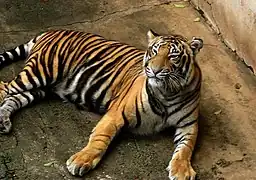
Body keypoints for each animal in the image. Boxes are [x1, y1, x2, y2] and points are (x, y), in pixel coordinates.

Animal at [0, 28, 204, 179]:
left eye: (173, 56)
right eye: (153, 51)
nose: (153, 70)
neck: (167, 92)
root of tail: (50, 31)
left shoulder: (189, 124)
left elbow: (186, 148)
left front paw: (181, 171)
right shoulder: (116, 113)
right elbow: (100, 138)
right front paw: (80, 161)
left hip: (42, 89)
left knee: (14, 97)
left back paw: (3, 122)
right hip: (39, 74)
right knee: (4, 88)